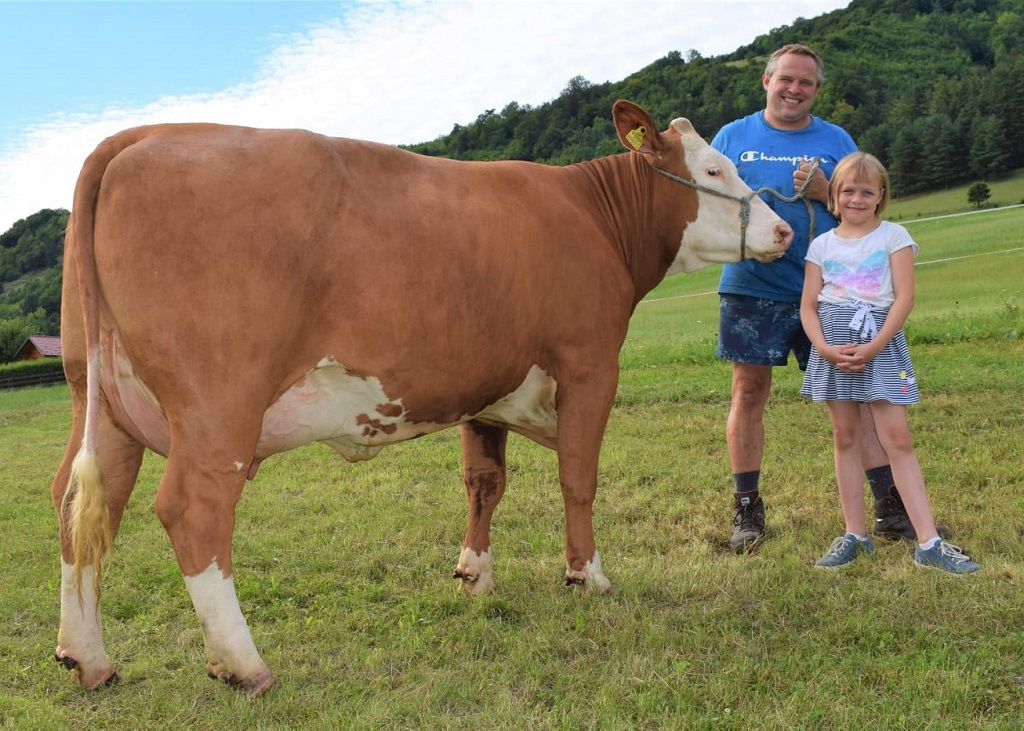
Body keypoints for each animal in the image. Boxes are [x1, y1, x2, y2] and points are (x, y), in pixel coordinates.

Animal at [51, 99, 794, 692]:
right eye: (715, 171)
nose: (785, 231)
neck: (590, 216)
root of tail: (142, 136)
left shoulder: (487, 386)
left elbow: (484, 482)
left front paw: (475, 573)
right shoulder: (589, 365)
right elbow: (578, 477)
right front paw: (589, 576)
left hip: (98, 396)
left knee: (80, 500)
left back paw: (88, 658)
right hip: (219, 404)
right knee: (192, 510)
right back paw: (243, 663)